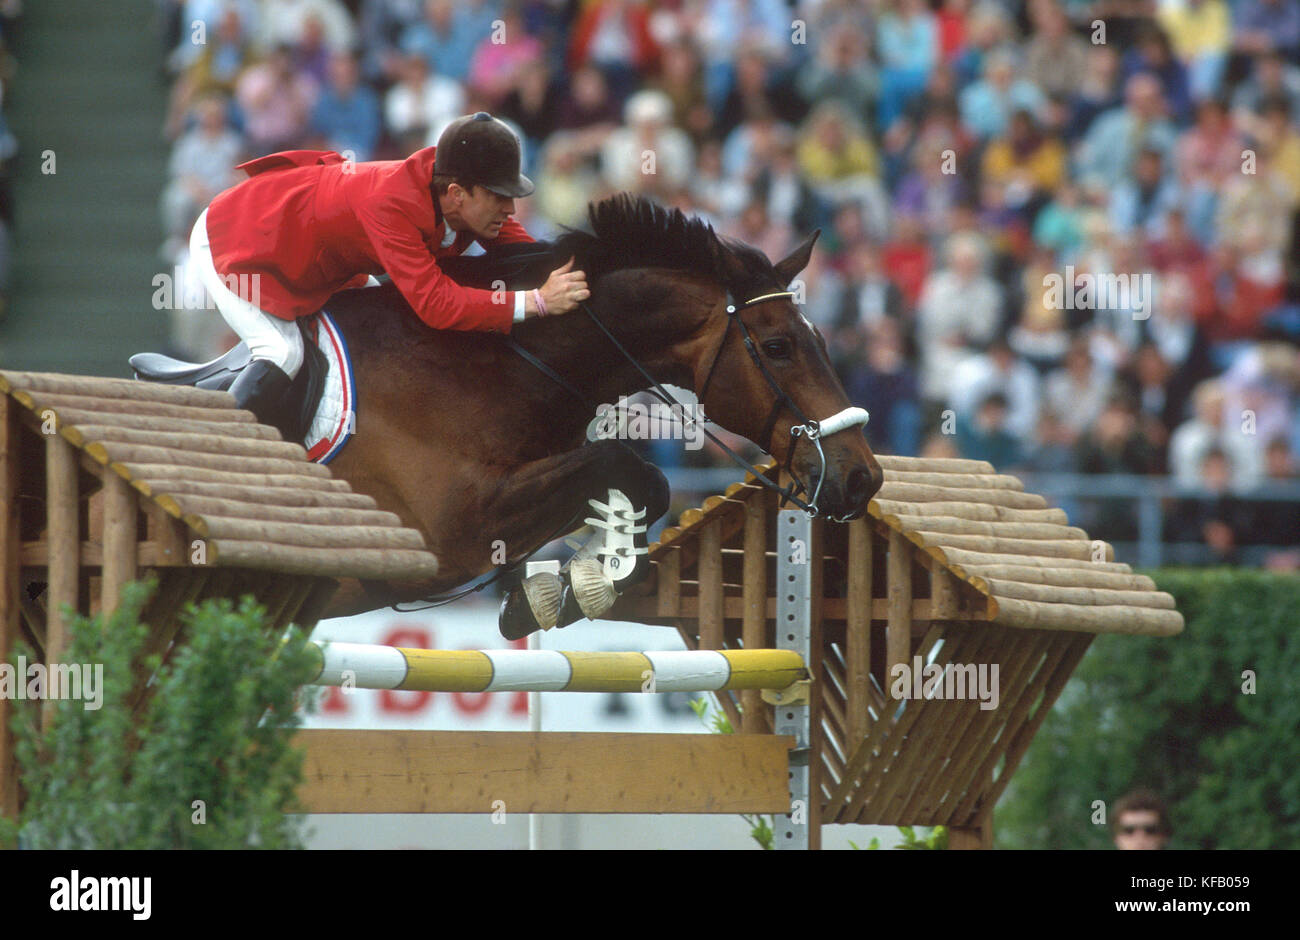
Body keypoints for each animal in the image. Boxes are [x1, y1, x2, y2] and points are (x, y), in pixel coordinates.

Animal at [144, 196, 883, 639]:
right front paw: (578, 584)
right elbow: (628, 466)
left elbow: (635, 483)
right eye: (779, 347)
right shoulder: (454, 530)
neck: (498, 363)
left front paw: (561, 589)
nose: (862, 478)